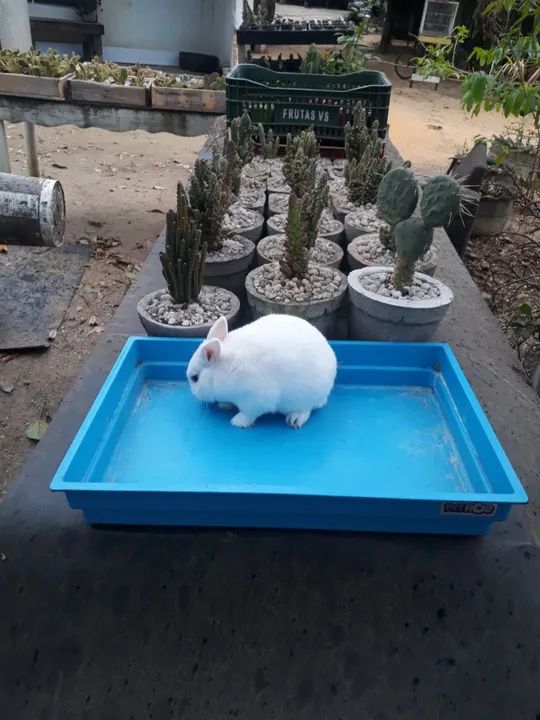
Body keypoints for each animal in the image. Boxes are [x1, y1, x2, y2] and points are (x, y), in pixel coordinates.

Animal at [186, 314, 337, 429]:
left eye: (195, 378)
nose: (193, 393)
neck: (222, 371)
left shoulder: (256, 400)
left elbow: (249, 414)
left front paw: (237, 422)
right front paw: (224, 404)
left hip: (306, 398)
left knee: (307, 409)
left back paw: (294, 419)